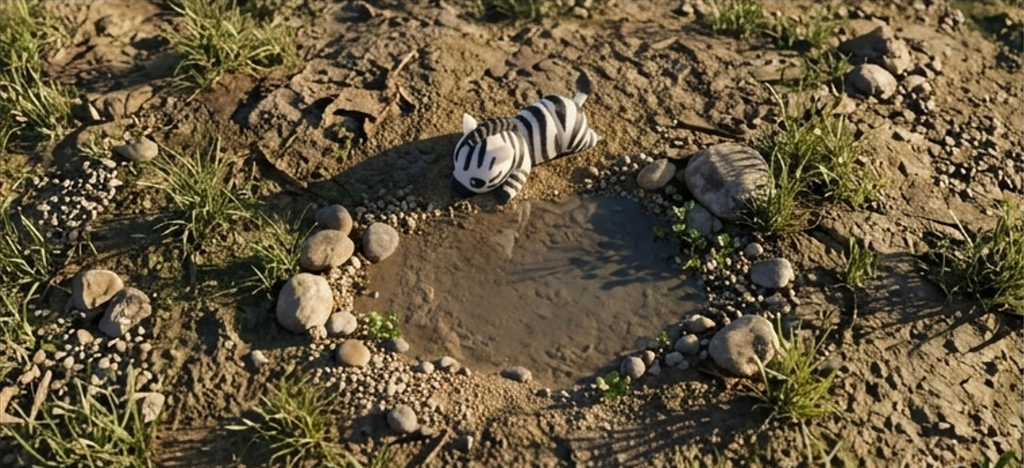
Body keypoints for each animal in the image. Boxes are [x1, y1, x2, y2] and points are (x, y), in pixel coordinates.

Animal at [449, 73, 601, 204]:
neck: (515, 139)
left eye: (476, 182)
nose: (455, 188)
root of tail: (575, 104)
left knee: (589, 139)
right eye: (455, 163)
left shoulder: (523, 164)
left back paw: (599, 137)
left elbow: (515, 182)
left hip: (577, 139)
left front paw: (502, 196)